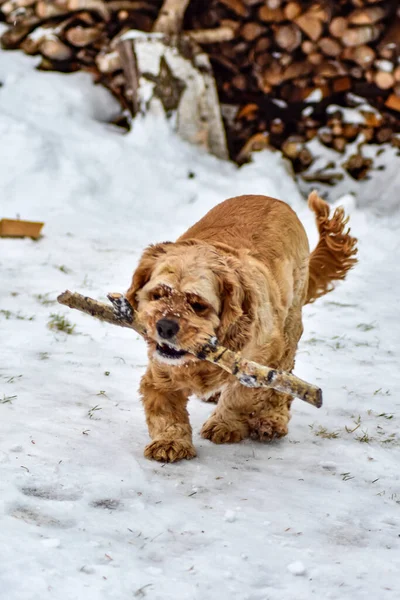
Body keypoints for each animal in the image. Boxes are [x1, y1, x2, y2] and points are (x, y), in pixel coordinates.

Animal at [126, 193, 358, 464]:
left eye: (198, 305)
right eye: (158, 294)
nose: (164, 327)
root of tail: (273, 199)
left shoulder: (264, 356)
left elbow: (242, 395)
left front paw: (224, 424)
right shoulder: (161, 371)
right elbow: (165, 407)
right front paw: (170, 441)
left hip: (290, 324)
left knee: (284, 383)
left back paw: (271, 421)